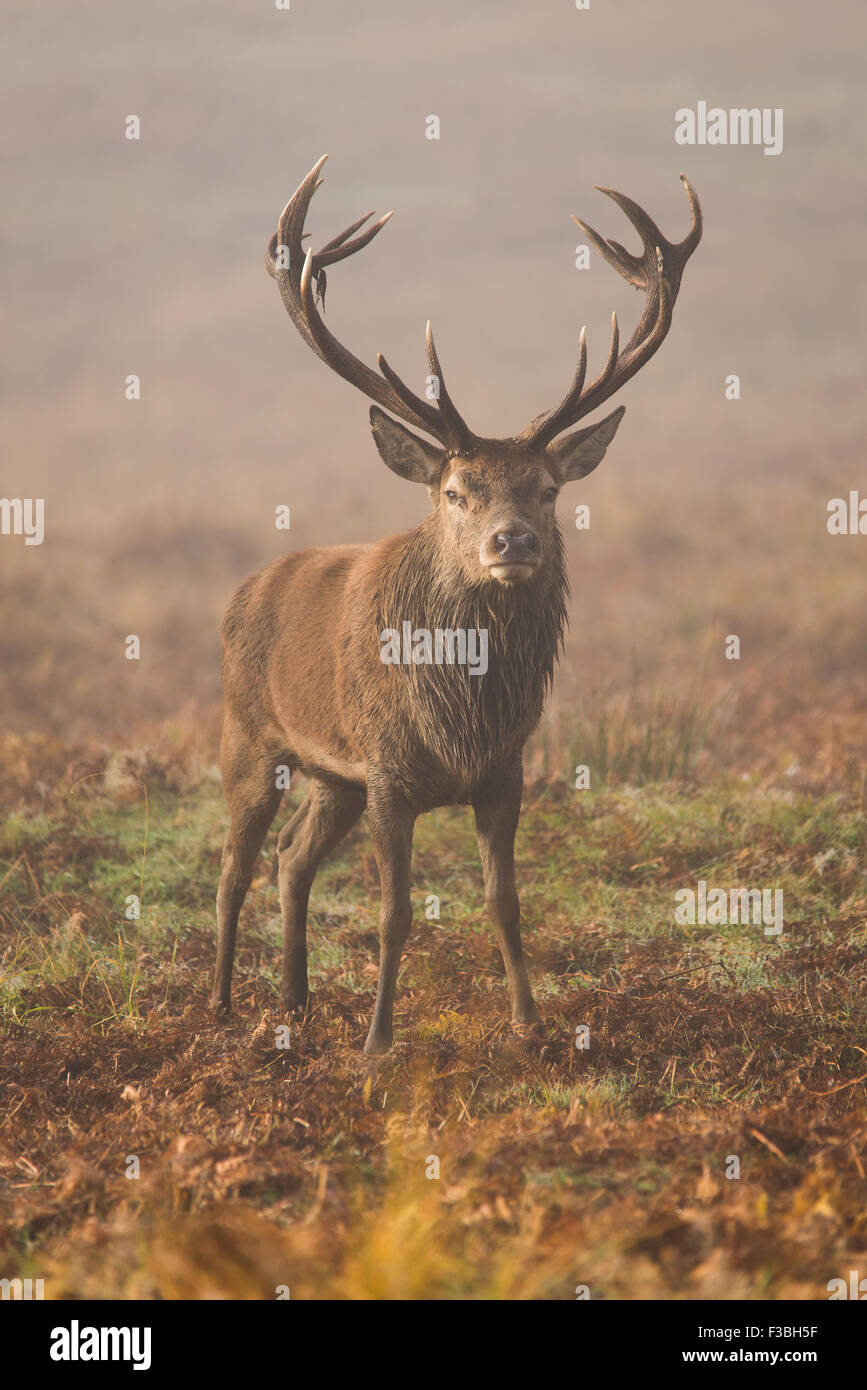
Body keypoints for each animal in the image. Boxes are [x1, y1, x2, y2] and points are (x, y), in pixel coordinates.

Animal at [210, 155, 702, 1054]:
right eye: (454, 491)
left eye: (546, 488)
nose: (514, 542)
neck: (461, 715)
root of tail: (250, 585)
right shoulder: (389, 774)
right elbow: (396, 913)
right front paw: (377, 1043)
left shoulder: (504, 772)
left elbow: (504, 902)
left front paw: (530, 1024)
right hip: (249, 735)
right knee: (233, 865)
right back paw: (225, 1003)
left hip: (332, 777)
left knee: (291, 860)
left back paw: (295, 1002)